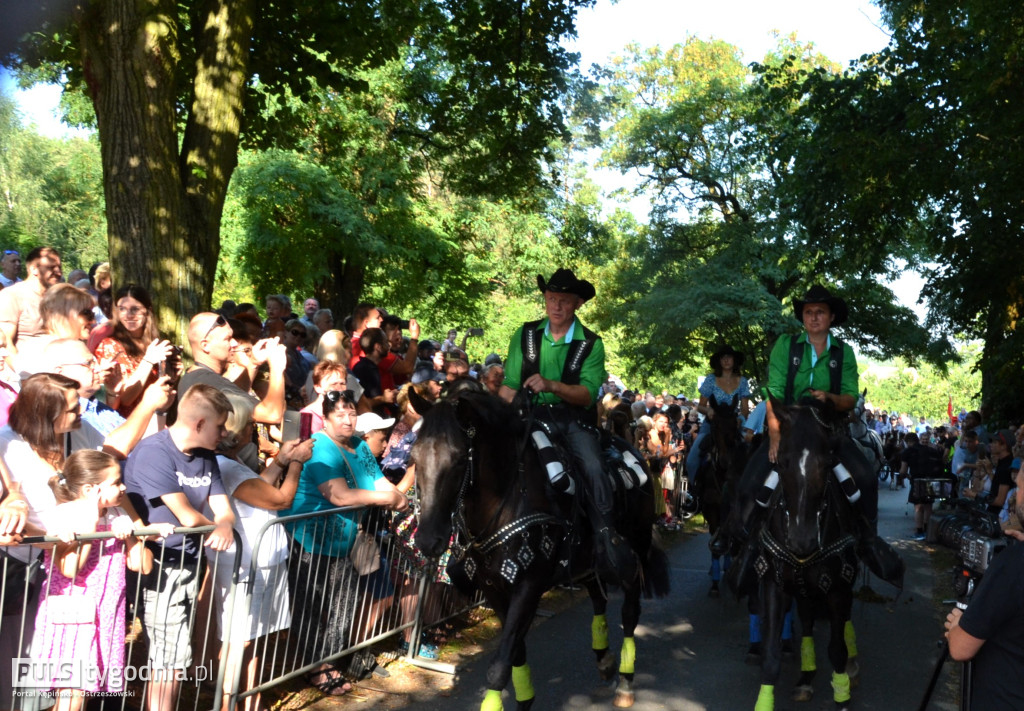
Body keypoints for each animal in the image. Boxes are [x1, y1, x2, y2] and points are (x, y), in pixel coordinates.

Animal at [411, 387, 667, 711]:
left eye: (458, 459)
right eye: (413, 456)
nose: (427, 540)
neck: (508, 497)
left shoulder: (529, 586)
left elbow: (501, 663)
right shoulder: (494, 588)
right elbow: (515, 652)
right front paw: (525, 699)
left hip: (636, 551)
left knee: (630, 612)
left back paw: (625, 680)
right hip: (586, 564)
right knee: (599, 598)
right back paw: (604, 659)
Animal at [753, 401, 864, 711]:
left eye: (827, 464)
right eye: (781, 463)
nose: (801, 541)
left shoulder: (838, 588)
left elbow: (837, 650)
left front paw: (842, 699)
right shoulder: (774, 585)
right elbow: (770, 656)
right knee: (806, 620)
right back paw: (805, 677)